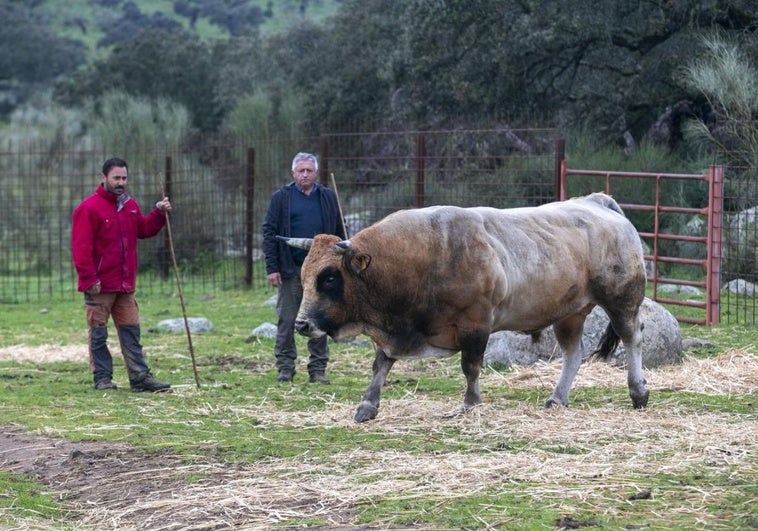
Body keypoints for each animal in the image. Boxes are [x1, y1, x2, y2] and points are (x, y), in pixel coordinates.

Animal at [282, 193, 652, 422]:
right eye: (304, 274)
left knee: (632, 339)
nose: (302, 325)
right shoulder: (392, 334)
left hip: (622, 300)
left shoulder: (476, 324)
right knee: (572, 355)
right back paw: (557, 398)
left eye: (330, 278)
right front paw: (367, 406)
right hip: (569, 314)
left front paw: (471, 404)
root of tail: (597, 202)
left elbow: (470, 367)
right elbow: (381, 366)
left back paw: (638, 391)